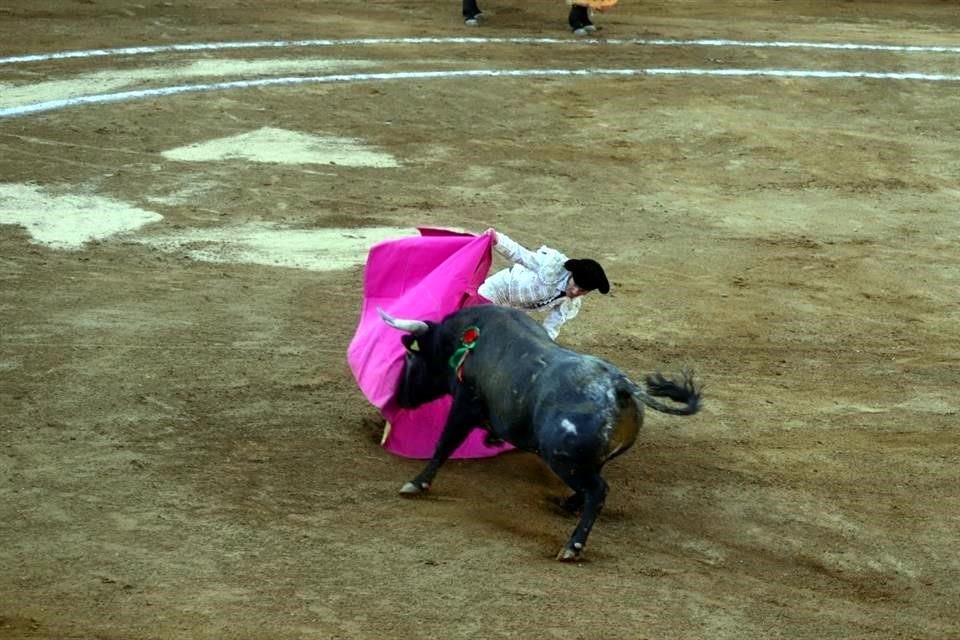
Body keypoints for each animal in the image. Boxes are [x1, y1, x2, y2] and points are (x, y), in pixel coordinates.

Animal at [378, 304, 700, 560]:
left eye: (410, 357)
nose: (399, 396)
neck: (459, 338)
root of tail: (619, 385)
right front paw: (491, 439)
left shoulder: (465, 404)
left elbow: (444, 444)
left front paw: (416, 484)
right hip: (583, 460)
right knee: (592, 487)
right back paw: (567, 504)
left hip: (561, 457)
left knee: (598, 491)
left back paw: (572, 546)